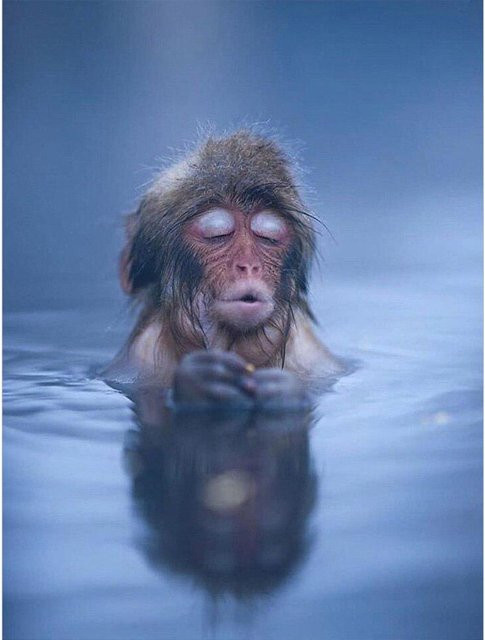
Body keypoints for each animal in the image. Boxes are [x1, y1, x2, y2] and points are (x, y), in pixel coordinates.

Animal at [106, 130, 344, 408]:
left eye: (268, 238)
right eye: (217, 235)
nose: (249, 266)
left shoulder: (312, 356)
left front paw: (283, 391)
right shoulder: (140, 357)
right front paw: (200, 382)